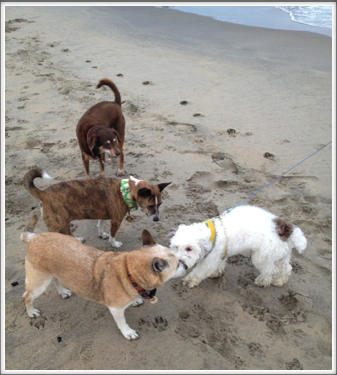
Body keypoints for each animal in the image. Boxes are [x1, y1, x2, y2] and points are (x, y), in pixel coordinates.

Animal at [20, 214, 186, 340]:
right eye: (178, 264)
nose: (186, 266)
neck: (128, 273)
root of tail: (33, 237)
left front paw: (135, 300)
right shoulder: (116, 310)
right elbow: (122, 323)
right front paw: (128, 332)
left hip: (53, 273)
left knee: (56, 282)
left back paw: (63, 292)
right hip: (39, 282)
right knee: (26, 296)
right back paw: (31, 312)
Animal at [23, 169, 171, 248]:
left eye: (160, 204)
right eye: (150, 206)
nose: (157, 219)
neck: (126, 191)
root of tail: (44, 193)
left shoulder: (102, 214)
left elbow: (100, 225)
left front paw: (101, 234)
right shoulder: (116, 221)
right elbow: (113, 235)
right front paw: (114, 243)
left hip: (63, 223)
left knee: (68, 233)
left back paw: (77, 240)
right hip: (58, 225)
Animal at [169, 207, 306, 290]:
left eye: (189, 248)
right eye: (175, 247)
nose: (179, 262)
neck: (213, 235)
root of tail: (287, 230)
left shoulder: (210, 260)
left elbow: (199, 272)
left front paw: (189, 281)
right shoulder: (221, 254)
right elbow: (220, 264)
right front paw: (217, 272)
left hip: (261, 257)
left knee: (271, 270)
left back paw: (263, 280)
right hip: (282, 254)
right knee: (286, 268)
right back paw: (280, 281)